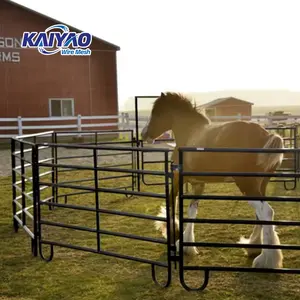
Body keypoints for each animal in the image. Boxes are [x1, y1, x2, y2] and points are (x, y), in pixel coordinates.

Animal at [142, 92, 284, 270]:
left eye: (157, 112)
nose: (144, 134)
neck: (189, 133)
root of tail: (266, 135)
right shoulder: (198, 184)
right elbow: (192, 212)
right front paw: (186, 245)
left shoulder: (177, 179)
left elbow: (171, 203)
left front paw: (173, 234)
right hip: (261, 184)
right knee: (260, 214)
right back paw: (253, 247)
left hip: (247, 185)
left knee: (266, 212)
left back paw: (266, 260)